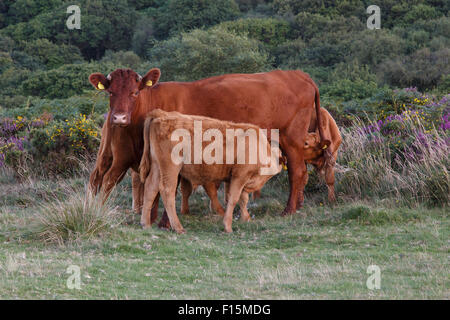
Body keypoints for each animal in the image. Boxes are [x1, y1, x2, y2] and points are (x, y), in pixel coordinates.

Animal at [140, 109, 282, 232]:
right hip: (170, 167)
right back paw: (178, 227)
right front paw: (228, 226)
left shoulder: (235, 178)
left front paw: (246, 218)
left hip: (157, 167)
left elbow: (242, 199)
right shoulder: (240, 176)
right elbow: (234, 198)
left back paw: (145, 224)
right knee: (167, 190)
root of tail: (162, 114)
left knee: (150, 188)